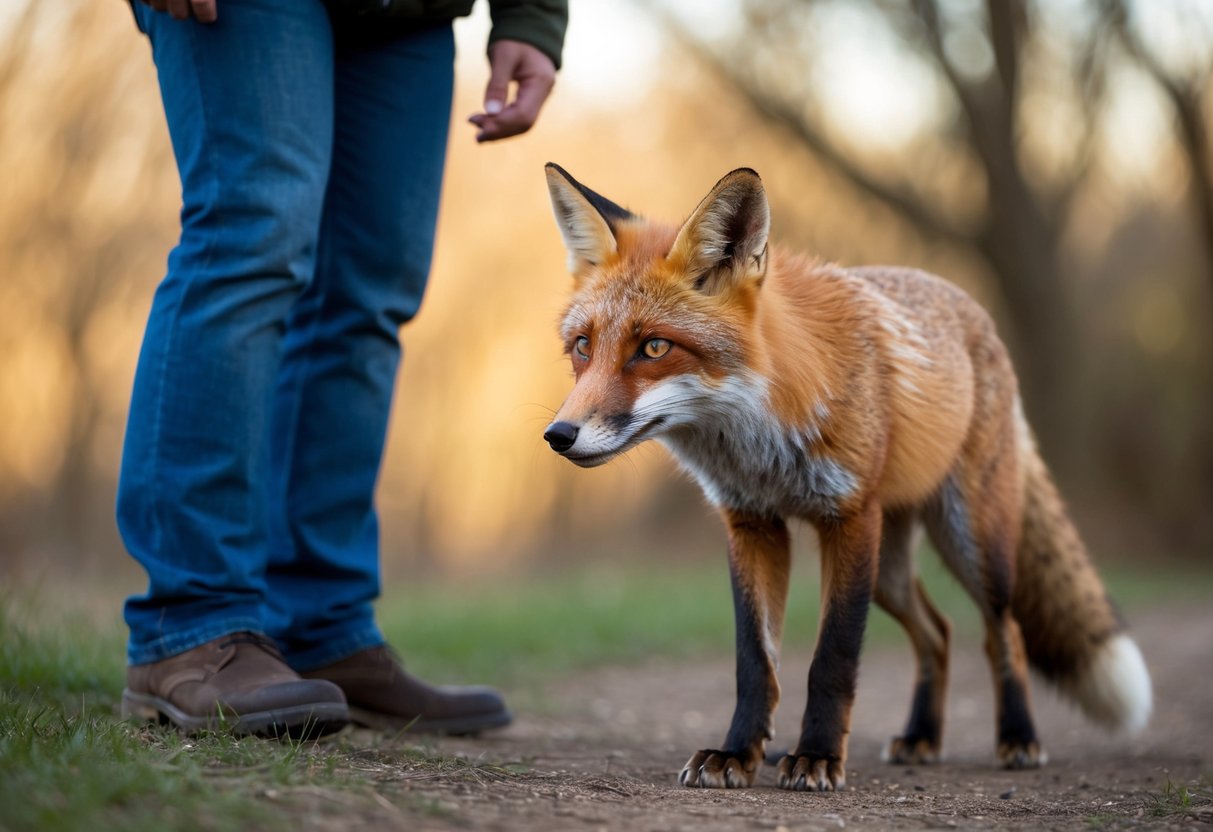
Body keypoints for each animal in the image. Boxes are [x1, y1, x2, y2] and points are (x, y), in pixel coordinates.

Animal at [540, 163, 1153, 792]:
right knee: (938, 633)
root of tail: (973, 309)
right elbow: (754, 663)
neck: (762, 442)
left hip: (972, 546)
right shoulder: (752, 524)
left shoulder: (850, 519)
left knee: (1002, 634)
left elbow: (832, 658)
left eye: (654, 347)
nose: (558, 435)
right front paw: (737, 753)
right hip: (890, 569)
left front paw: (815, 756)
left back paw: (1019, 737)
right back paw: (921, 737)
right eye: (583, 346)